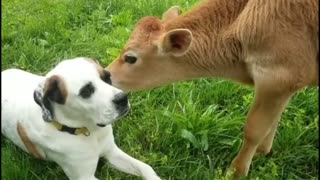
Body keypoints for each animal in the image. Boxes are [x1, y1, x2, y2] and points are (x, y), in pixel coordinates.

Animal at [1, 57, 161, 180]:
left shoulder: (111, 152)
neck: (88, 131)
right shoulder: (84, 176)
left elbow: (145, 168)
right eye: (86, 91)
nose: (123, 99)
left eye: (107, 77)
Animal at [107, 0, 318, 177]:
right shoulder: (283, 86)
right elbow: (272, 122)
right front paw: (262, 152)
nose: (106, 74)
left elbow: (254, 130)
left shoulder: (277, 77)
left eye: (130, 58)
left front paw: (236, 171)